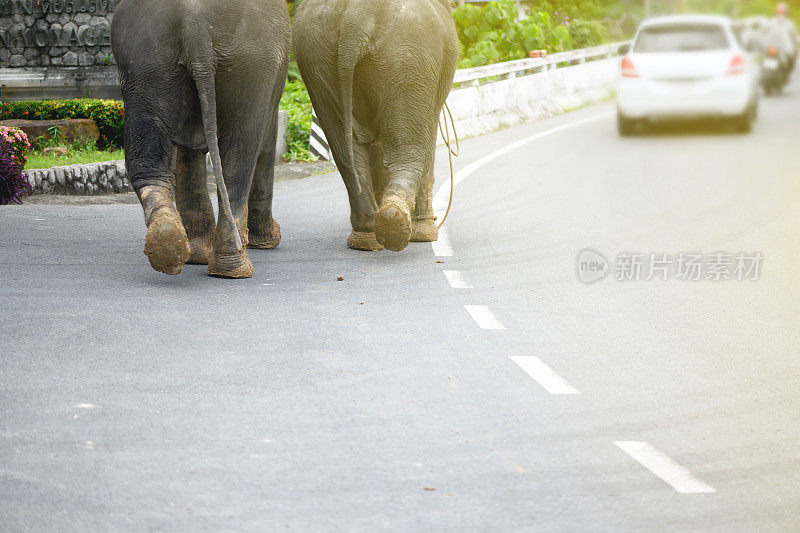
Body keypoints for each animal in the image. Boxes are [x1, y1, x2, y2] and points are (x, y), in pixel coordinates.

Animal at [111, 0, 290, 276]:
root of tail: (193, 22)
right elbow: (265, 145)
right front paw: (267, 241)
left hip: (145, 59)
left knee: (147, 164)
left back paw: (169, 243)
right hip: (253, 61)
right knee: (239, 161)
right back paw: (234, 268)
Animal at [292, 0, 456, 251]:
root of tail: (356, 21)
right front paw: (425, 235)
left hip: (315, 57)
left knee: (346, 152)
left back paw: (367, 238)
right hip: (407, 56)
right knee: (408, 152)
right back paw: (394, 223)